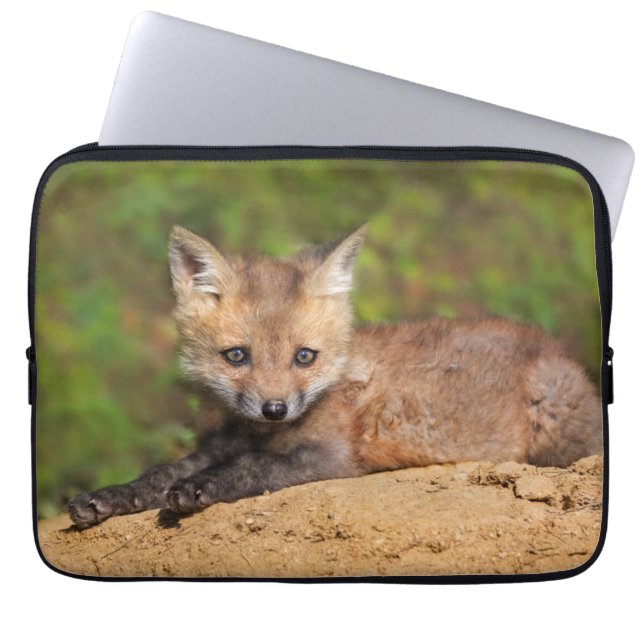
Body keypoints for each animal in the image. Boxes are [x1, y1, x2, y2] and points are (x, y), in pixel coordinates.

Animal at [69, 223, 603, 528]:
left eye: (304, 357)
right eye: (236, 356)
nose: (275, 409)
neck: (255, 432)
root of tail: (553, 347)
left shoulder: (330, 458)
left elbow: (252, 468)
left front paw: (201, 489)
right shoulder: (216, 444)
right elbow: (159, 472)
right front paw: (108, 497)